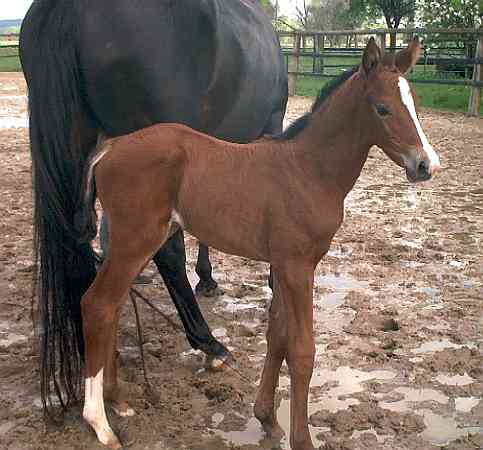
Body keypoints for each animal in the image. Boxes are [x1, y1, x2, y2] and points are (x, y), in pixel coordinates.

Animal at [81, 38, 440, 450]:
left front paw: (267, 418)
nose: (426, 165)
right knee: (97, 304)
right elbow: (302, 350)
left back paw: (117, 400)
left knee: (114, 306)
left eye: (414, 102)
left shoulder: (284, 265)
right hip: (136, 241)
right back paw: (99, 423)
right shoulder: (298, 267)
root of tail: (111, 147)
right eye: (382, 108)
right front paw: (302, 439)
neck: (308, 169)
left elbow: (277, 337)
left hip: (134, 243)